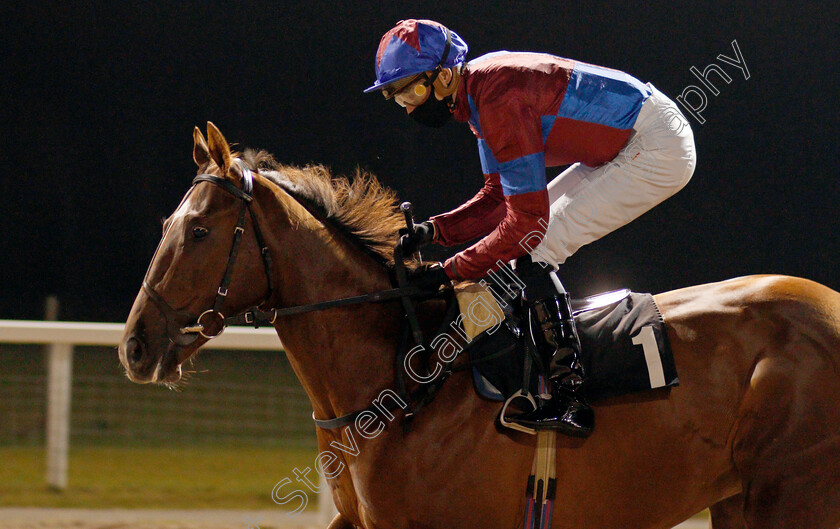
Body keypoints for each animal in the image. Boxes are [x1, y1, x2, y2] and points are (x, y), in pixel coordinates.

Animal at [118, 121, 840, 524]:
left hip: (792, 497)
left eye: (199, 231)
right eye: (169, 223)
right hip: (743, 500)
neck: (404, 374)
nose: (135, 345)